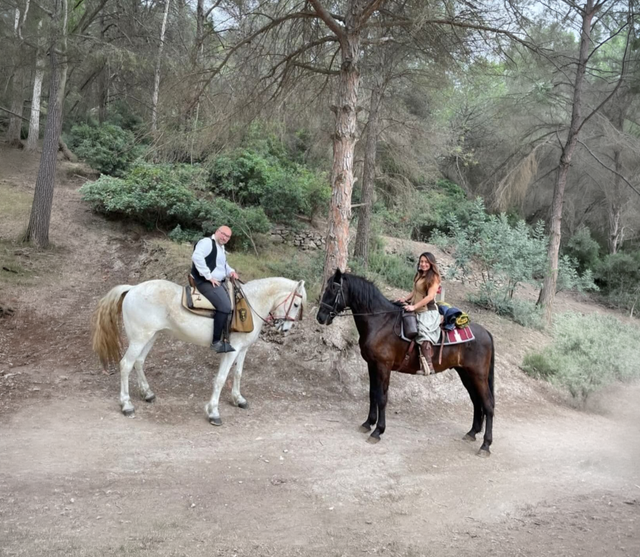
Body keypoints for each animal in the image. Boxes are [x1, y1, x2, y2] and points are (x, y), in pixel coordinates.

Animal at [92, 277, 306, 425]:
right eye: (296, 304)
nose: (285, 329)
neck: (250, 305)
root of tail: (133, 289)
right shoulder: (232, 351)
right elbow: (221, 379)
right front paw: (213, 412)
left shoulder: (243, 349)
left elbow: (237, 373)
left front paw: (238, 399)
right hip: (139, 339)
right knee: (126, 365)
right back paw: (126, 405)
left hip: (150, 337)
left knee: (139, 362)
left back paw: (147, 394)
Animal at [316, 269, 495, 456]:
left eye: (333, 289)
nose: (320, 317)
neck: (381, 322)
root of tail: (486, 332)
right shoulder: (372, 365)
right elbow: (373, 394)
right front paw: (368, 423)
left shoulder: (384, 366)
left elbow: (382, 398)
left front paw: (378, 431)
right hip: (466, 374)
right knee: (476, 401)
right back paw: (472, 433)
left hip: (478, 375)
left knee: (488, 405)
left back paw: (485, 445)